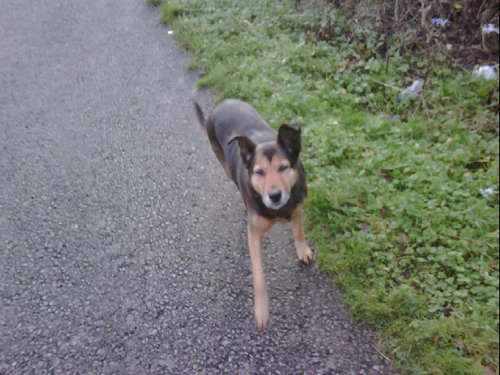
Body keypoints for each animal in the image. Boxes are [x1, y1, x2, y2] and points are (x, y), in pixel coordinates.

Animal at [192, 99, 312, 328]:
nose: (274, 195)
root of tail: (221, 104)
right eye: (259, 172)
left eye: (283, 167)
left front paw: (303, 249)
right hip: (225, 165)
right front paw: (262, 309)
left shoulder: (298, 205)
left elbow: (299, 230)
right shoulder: (254, 233)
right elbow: (258, 276)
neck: (279, 210)